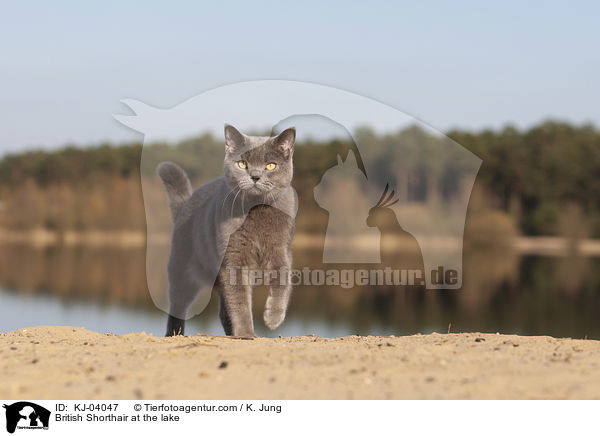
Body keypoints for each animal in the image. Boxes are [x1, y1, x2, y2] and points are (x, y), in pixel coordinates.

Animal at [155, 122, 296, 338]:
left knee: (222, 309)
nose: (255, 176)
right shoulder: (234, 257)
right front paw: (246, 333)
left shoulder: (281, 249)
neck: (255, 210)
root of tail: (186, 203)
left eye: (271, 165)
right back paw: (174, 333)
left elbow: (282, 281)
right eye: (242, 164)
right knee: (178, 304)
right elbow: (239, 301)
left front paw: (272, 319)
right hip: (182, 268)